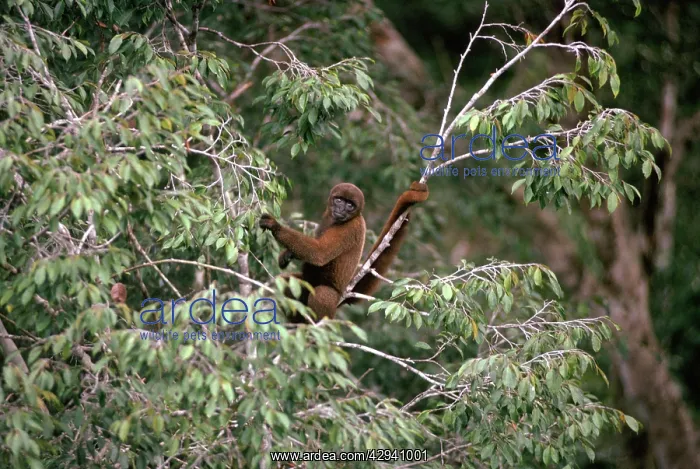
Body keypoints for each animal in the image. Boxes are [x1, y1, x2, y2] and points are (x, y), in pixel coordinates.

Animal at [259, 181, 428, 322]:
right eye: (339, 200)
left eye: (350, 205)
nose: (341, 209)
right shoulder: (327, 215)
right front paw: (287, 254)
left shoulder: (350, 228)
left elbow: (319, 253)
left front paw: (275, 225)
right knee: (285, 281)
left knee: (323, 294)